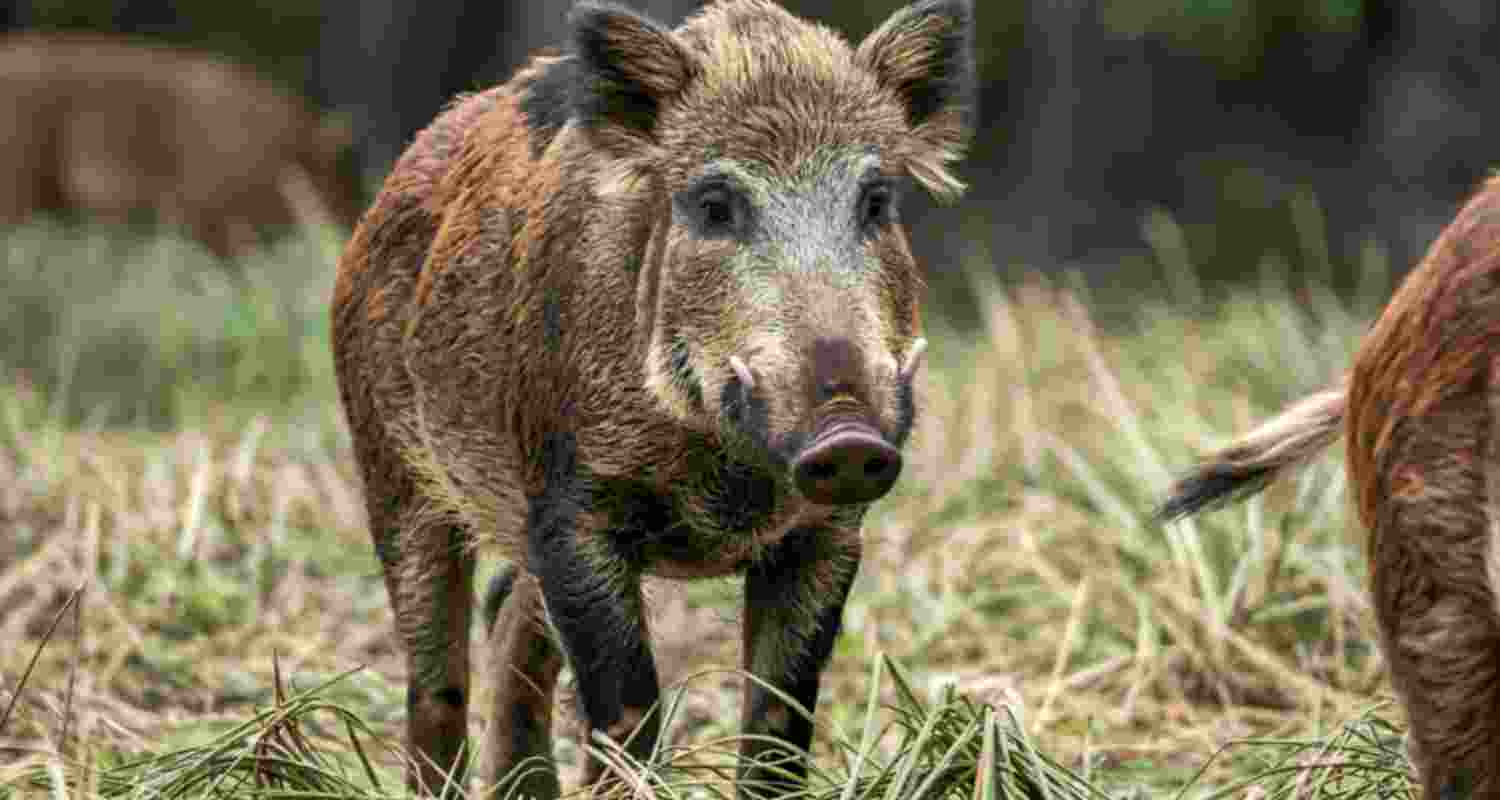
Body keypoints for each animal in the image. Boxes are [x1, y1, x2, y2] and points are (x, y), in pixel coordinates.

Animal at [330, 0, 973, 796]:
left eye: (876, 201)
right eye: (715, 205)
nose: (847, 434)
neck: (723, 478)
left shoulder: (828, 530)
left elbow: (778, 721)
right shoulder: (570, 508)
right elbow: (629, 709)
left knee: (509, 619)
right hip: (391, 470)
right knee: (435, 681)